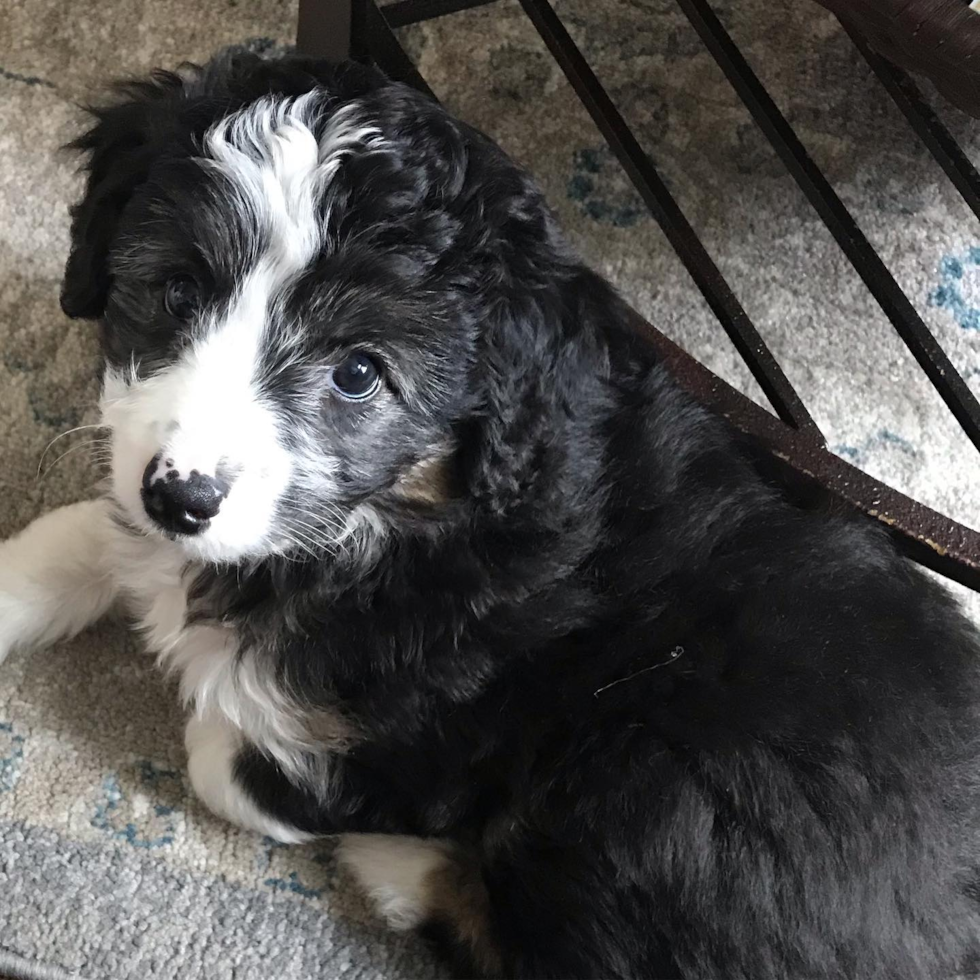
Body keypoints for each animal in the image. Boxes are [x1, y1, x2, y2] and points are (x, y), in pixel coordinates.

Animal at [1, 49, 980, 976]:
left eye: (358, 372)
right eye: (176, 293)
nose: (181, 497)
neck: (397, 520)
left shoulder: (402, 740)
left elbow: (224, 753)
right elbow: (93, 533)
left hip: (657, 786)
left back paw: (397, 871)